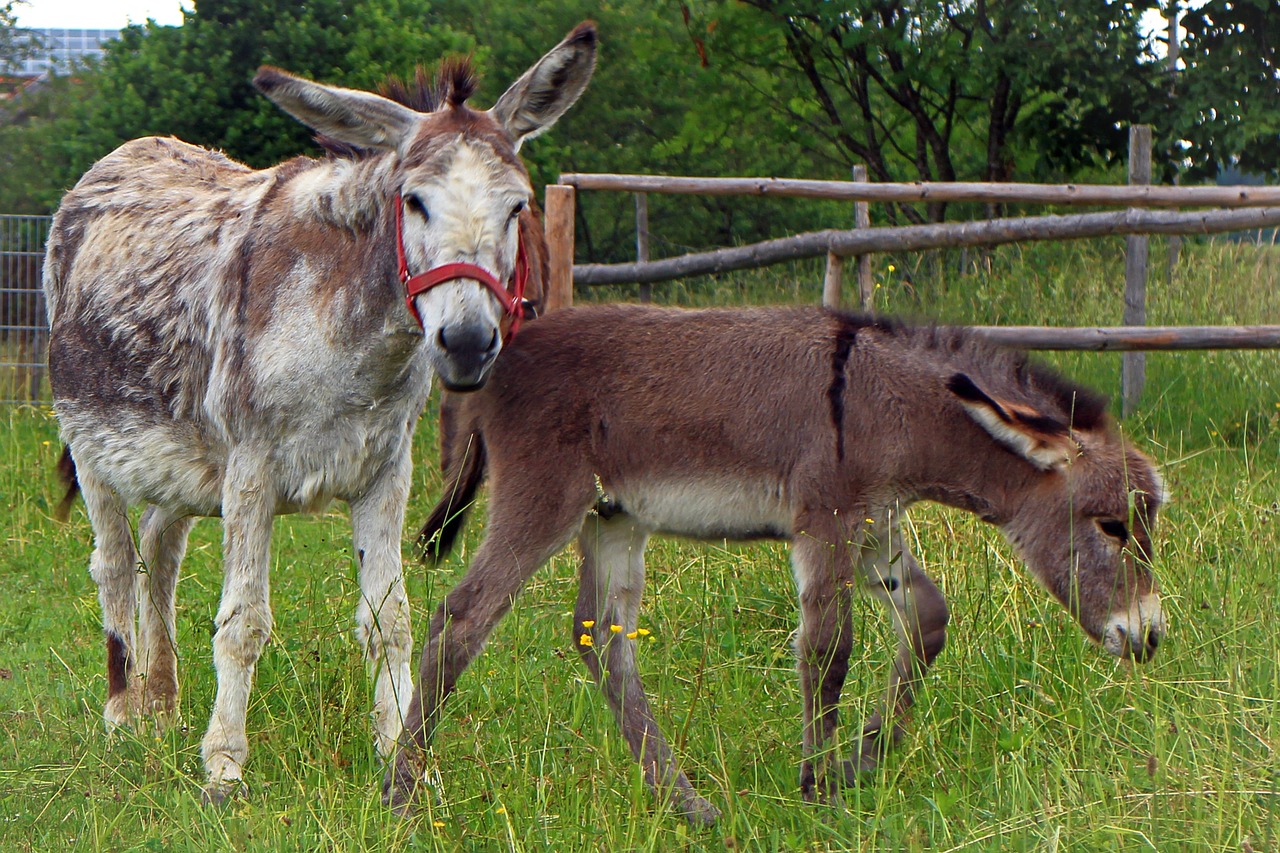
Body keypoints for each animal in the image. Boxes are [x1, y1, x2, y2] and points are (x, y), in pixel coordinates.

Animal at [386, 302, 1162, 819]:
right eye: (1113, 525)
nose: (1150, 637)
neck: (889, 401)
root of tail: (500, 356)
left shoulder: (875, 528)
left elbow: (929, 618)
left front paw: (862, 761)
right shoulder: (829, 521)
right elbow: (828, 649)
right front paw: (818, 789)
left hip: (614, 519)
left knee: (602, 640)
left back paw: (687, 803)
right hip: (544, 499)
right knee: (461, 619)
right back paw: (403, 791)